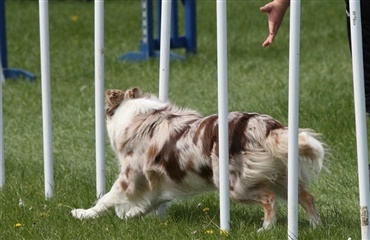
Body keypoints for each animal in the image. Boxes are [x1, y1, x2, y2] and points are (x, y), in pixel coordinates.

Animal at [71, 87, 326, 232]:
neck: (139, 115)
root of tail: (264, 126)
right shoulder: (161, 182)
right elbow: (149, 202)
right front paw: (131, 215)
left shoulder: (130, 176)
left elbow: (107, 198)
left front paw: (83, 214)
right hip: (280, 176)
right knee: (306, 196)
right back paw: (316, 226)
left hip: (234, 185)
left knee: (269, 200)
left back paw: (265, 229)